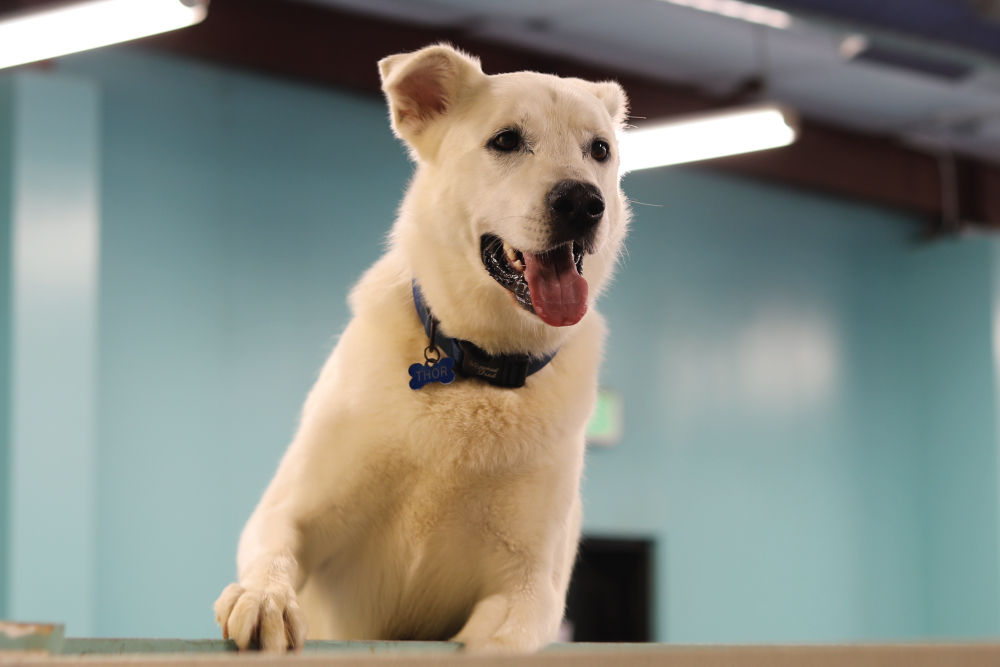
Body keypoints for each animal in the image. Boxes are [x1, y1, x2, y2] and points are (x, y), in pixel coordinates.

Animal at [215, 44, 628, 656]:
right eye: (506, 140)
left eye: (599, 150)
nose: (583, 202)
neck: (478, 364)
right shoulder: (292, 514)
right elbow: (274, 551)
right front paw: (263, 597)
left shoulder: (528, 591)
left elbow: (498, 640)